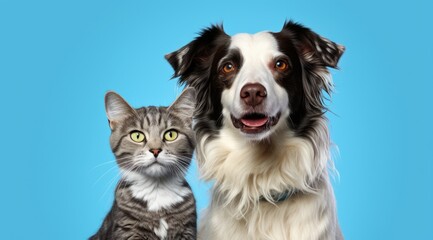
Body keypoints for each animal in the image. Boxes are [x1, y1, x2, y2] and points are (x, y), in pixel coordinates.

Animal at [91, 88, 199, 240]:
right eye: (137, 136)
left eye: (171, 134)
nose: (155, 150)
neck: (157, 191)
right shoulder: (127, 229)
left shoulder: (187, 231)